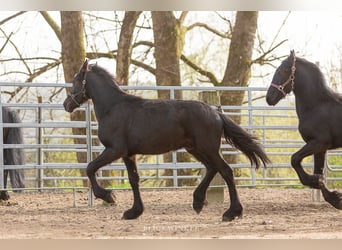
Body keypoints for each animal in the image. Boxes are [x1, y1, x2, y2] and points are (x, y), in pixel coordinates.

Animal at [62, 59, 270, 221]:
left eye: (76, 80)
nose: (66, 104)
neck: (113, 108)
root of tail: (215, 113)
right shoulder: (129, 154)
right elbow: (134, 180)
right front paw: (133, 212)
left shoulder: (115, 150)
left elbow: (90, 168)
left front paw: (108, 196)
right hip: (195, 149)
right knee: (212, 168)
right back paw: (198, 201)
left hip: (207, 148)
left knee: (226, 171)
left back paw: (231, 213)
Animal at [268, 50, 342, 209]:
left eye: (283, 71)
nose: (269, 97)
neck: (316, 106)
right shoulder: (320, 148)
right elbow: (318, 171)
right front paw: (334, 198)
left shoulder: (318, 143)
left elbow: (294, 159)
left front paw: (316, 181)